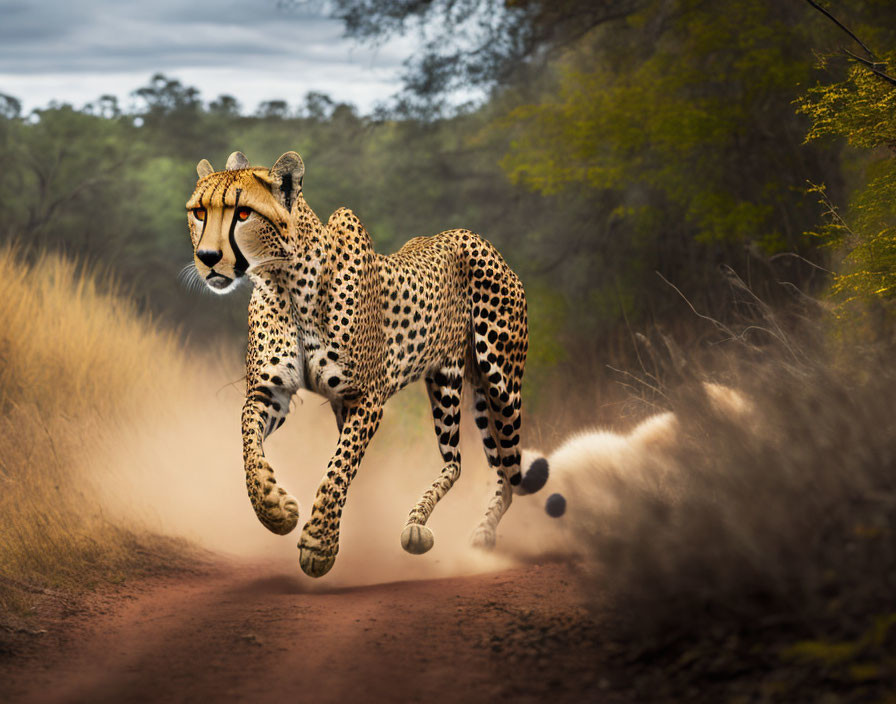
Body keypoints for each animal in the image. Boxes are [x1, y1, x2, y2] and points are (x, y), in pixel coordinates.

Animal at [184, 151, 544, 576]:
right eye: (199, 212)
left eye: (242, 214)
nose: (207, 258)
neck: (283, 281)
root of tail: (473, 237)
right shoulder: (269, 393)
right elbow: (249, 449)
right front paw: (275, 507)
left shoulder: (365, 400)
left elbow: (338, 468)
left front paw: (319, 545)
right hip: (451, 381)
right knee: (460, 461)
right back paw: (420, 525)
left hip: (498, 383)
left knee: (504, 468)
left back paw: (472, 532)